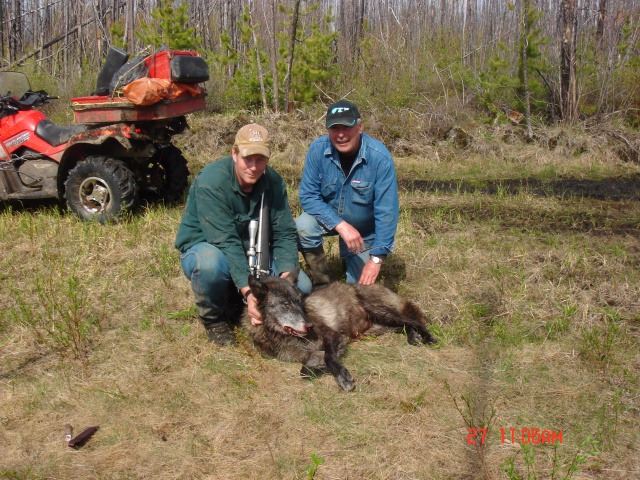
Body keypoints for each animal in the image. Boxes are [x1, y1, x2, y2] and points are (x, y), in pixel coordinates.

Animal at [241, 275, 435, 391]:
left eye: (299, 302)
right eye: (285, 304)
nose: (309, 325)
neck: (282, 335)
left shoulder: (335, 336)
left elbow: (326, 358)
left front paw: (341, 376)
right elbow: (308, 366)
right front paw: (319, 367)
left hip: (380, 312)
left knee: (413, 321)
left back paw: (427, 337)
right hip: (377, 327)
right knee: (404, 326)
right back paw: (414, 336)